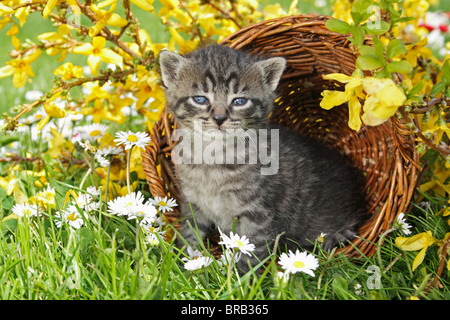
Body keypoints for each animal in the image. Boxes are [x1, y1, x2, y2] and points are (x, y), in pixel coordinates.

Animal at [160, 44, 364, 270]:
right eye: (200, 99)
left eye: (239, 101)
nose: (220, 118)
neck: (212, 157)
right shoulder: (192, 204)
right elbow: (189, 235)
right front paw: (183, 264)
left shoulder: (258, 213)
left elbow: (251, 252)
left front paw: (242, 278)